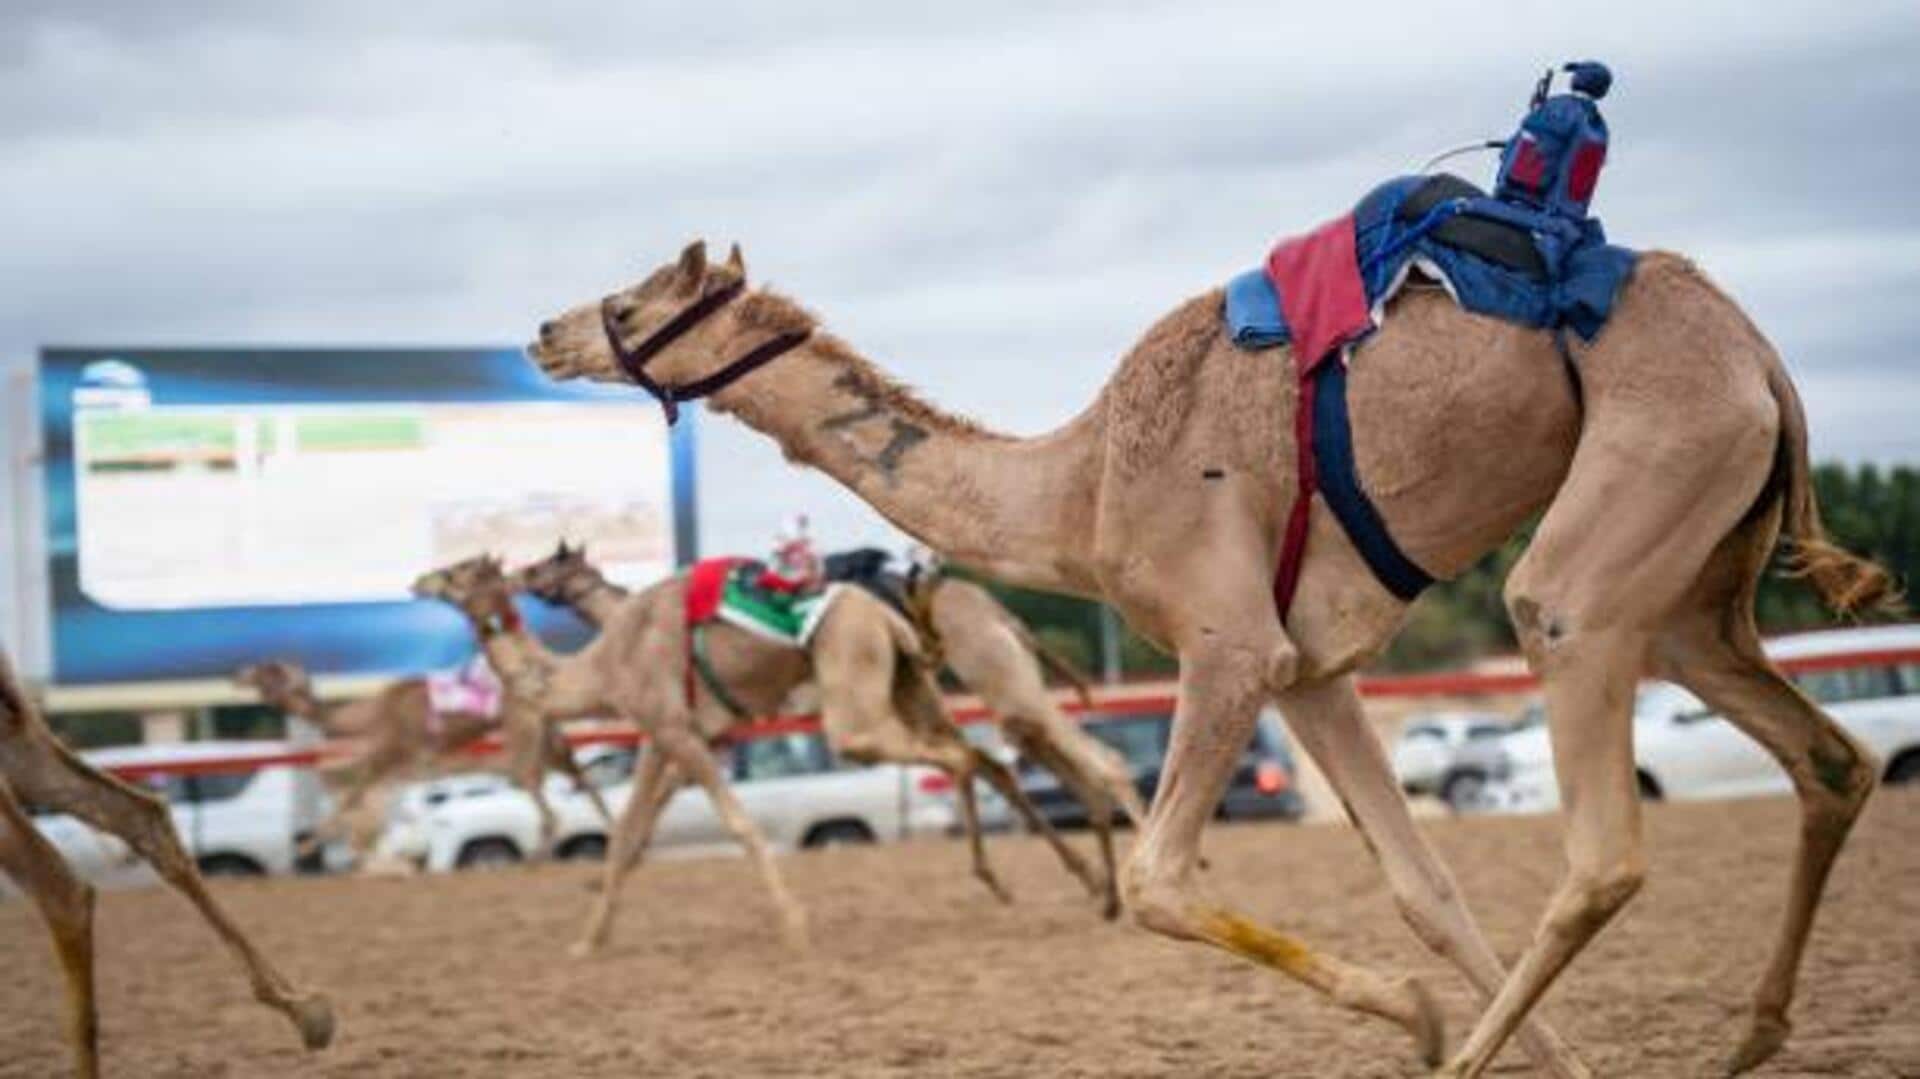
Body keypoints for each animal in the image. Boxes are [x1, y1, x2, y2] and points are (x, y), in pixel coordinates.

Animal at [231, 660, 612, 861]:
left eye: (267, 671)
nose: (238, 676)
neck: (373, 714)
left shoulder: (390, 755)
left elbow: (352, 796)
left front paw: (306, 845)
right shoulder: (400, 774)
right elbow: (366, 806)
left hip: (523, 737)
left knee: (542, 794)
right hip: (545, 737)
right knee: (572, 771)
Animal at [412, 553, 1100, 957]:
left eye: (459, 572)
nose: (419, 578)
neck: (603, 659)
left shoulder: (680, 732)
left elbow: (736, 823)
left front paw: (793, 924)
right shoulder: (664, 736)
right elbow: (628, 834)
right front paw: (589, 939)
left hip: (865, 690)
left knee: (976, 756)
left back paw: (1041, 879)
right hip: (909, 681)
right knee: (987, 758)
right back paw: (1074, 882)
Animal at [514, 541, 1149, 916]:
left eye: (550, 562)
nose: (519, 573)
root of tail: (999, 611)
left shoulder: (701, 728)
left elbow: (659, 801)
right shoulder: (712, 732)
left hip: (989, 678)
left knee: (1085, 759)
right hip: (960, 690)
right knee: (1010, 761)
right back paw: (1099, 885)